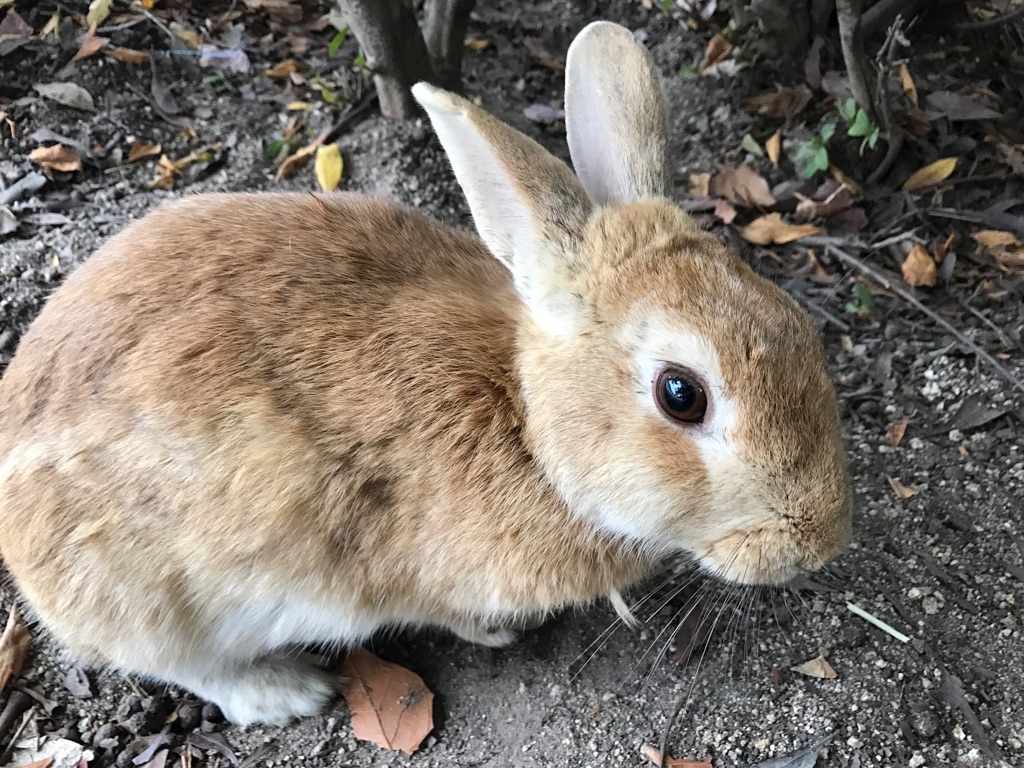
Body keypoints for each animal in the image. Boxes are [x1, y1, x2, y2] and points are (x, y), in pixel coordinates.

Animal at [0, 19, 851, 729]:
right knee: (179, 662)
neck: (530, 427)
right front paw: (497, 633)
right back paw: (283, 691)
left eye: (795, 324)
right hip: (154, 598)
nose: (821, 541)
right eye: (682, 394)